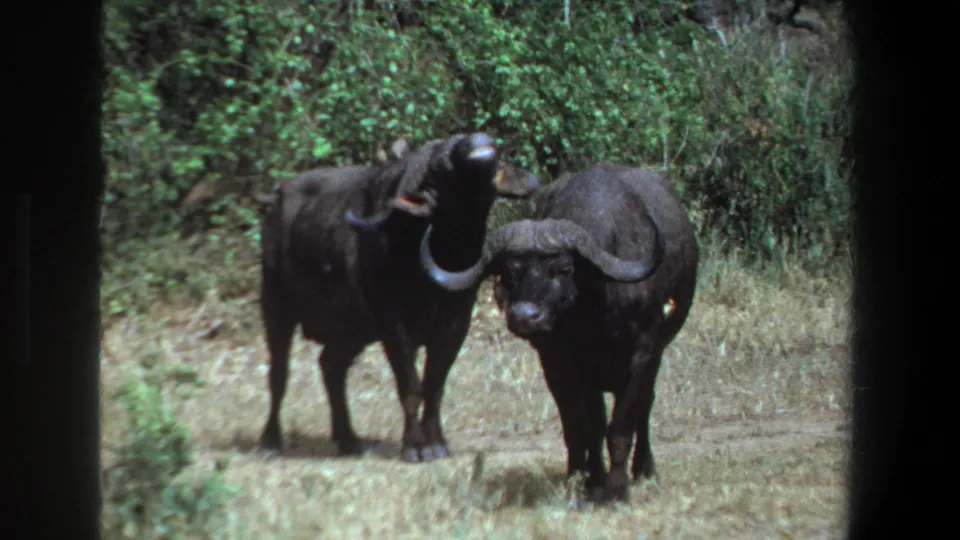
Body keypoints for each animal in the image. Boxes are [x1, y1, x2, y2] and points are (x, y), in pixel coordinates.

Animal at [258, 133, 539, 462]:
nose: (476, 141)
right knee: (279, 374)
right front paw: (414, 447)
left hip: (352, 330)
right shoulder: (395, 328)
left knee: (331, 366)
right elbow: (411, 387)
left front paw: (436, 443)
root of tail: (277, 200)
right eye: (440, 165)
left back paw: (349, 439)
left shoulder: (455, 325)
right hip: (276, 305)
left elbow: (434, 387)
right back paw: (271, 441)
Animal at [420, 163, 699, 502]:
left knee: (644, 407)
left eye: (563, 269)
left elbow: (622, 426)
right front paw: (587, 482)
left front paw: (617, 490)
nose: (524, 316)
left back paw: (645, 470)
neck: (594, 316)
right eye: (510, 273)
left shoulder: (642, 355)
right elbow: (583, 427)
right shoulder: (560, 364)